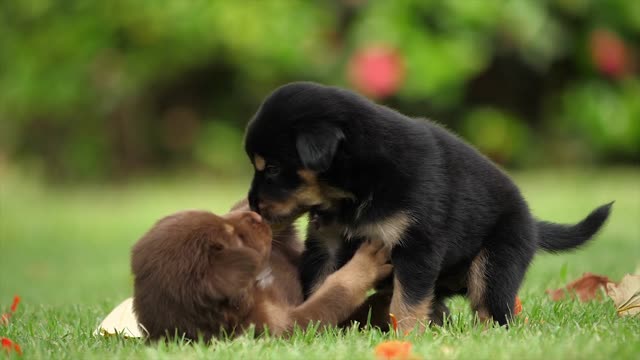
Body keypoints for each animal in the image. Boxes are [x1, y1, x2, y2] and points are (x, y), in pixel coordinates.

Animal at [242, 81, 612, 332]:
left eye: (271, 168)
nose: (253, 205)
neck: (355, 190)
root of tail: (532, 222)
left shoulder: (416, 244)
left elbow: (406, 301)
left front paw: (406, 337)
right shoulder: (327, 243)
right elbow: (321, 285)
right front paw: (321, 328)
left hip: (496, 261)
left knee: (493, 310)